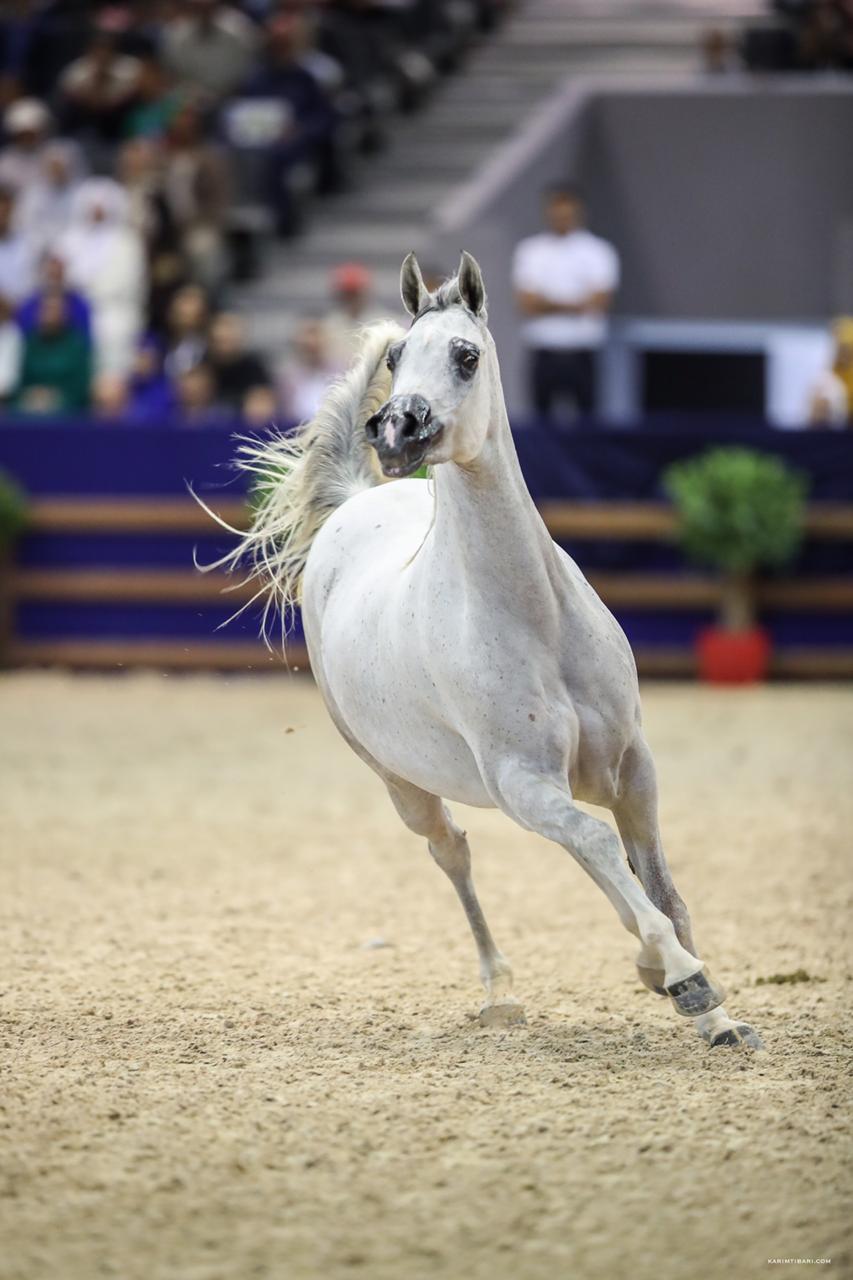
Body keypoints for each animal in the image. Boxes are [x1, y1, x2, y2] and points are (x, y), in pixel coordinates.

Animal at [212, 252, 758, 1049]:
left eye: (465, 356)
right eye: (399, 357)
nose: (396, 430)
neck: (536, 622)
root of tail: (355, 501)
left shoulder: (632, 768)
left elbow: (657, 881)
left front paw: (715, 1014)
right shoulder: (523, 784)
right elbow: (601, 848)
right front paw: (686, 980)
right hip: (401, 784)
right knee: (453, 851)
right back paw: (501, 991)